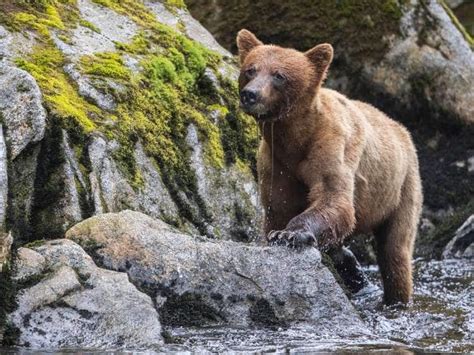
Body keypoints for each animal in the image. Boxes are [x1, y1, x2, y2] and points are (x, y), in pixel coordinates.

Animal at [237, 29, 422, 306]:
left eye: (279, 75)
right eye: (250, 69)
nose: (251, 94)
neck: (295, 138)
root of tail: (401, 128)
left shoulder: (332, 147)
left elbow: (333, 198)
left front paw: (290, 234)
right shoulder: (276, 163)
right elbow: (278, 206)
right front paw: (276, 233)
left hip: (403, 187)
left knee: (395, 251)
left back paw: (395, 295)